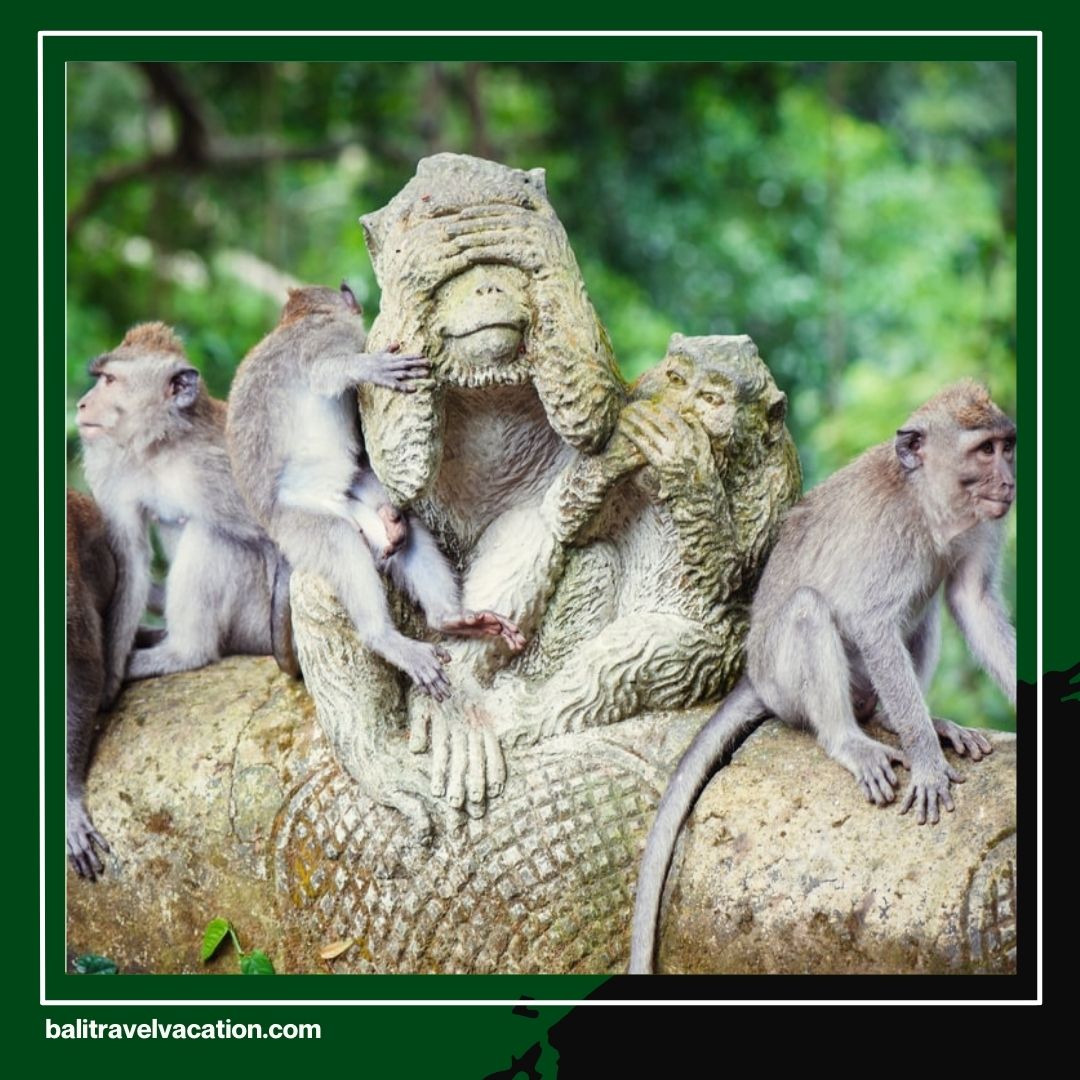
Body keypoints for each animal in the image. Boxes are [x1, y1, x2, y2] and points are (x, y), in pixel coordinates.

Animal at [77, 321, 282, 683]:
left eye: (110, 380)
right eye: (100, 377)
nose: (82, 404)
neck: (164, 447)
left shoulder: (223, 470)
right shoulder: (114, 470)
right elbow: (130, 560)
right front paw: (109, 680)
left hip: (257, 625)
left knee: (212, 536)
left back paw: (185, 654)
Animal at [225, 283, 525, 702]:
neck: (299, 318)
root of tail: (272, 527)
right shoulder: (327, 335)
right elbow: (322, 372)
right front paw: (371, 368)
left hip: (352, 510)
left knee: (399, 528)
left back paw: (450, 618)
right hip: (298, 525)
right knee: (339, 543)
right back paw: (384, 637)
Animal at [628, 380, 1014, 973]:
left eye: (1005, 446)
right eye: (984, 451)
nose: (1011, 482)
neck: (928, 503)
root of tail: (754, 677)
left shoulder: (976, 525)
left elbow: (971, 604)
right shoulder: (892, 536)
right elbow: (872, 621)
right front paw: (928, 764)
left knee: (920, 613)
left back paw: (904, 720)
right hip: (784, 682)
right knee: (810, 610)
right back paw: (850, 739)